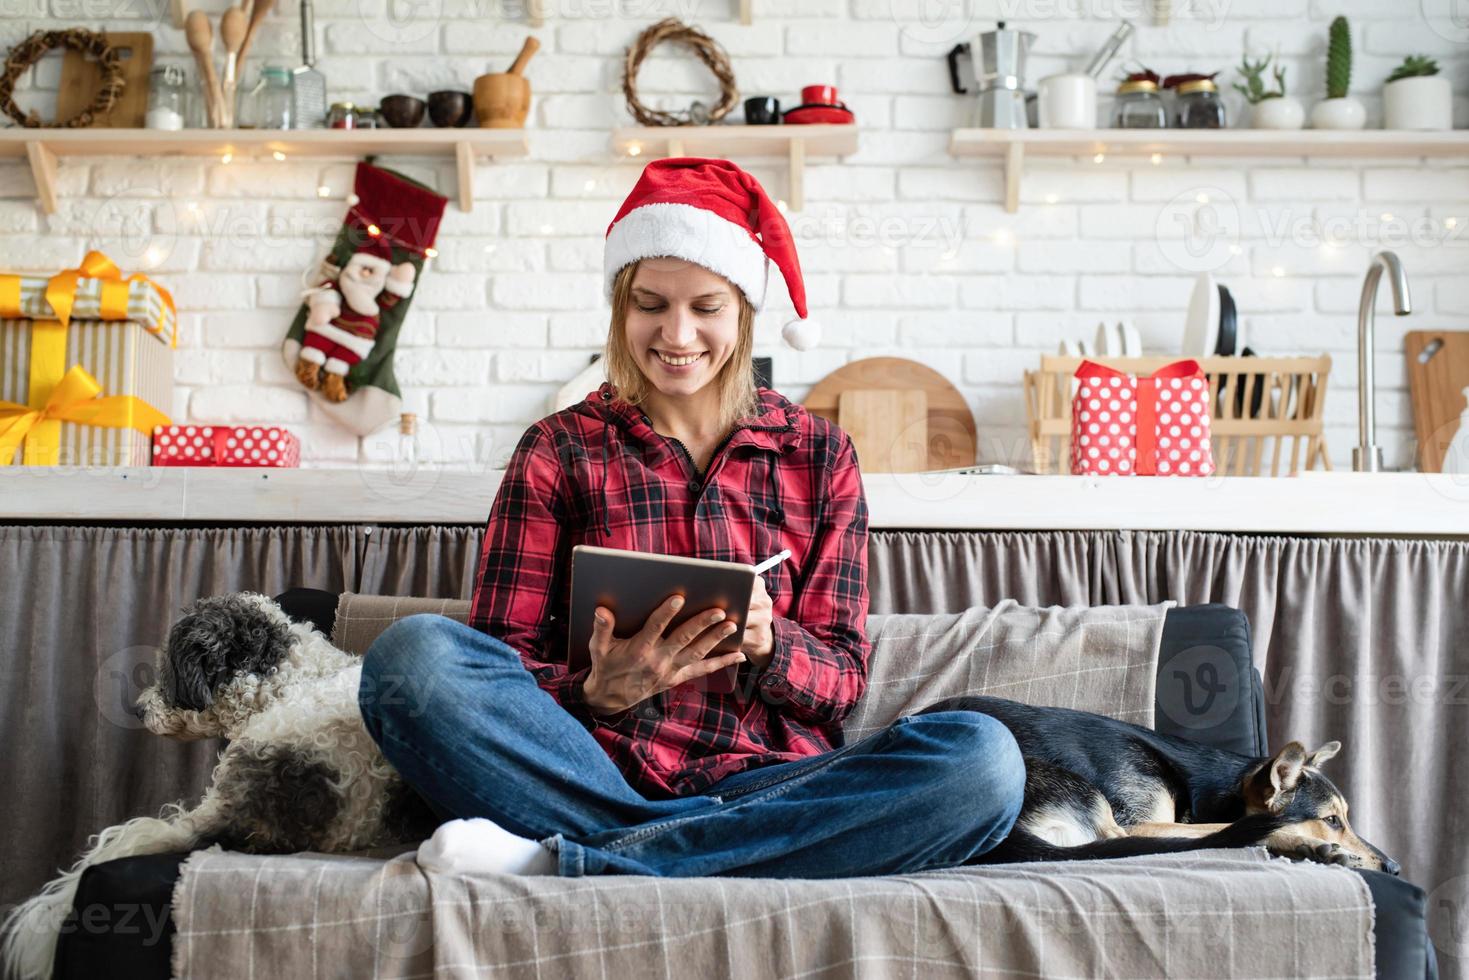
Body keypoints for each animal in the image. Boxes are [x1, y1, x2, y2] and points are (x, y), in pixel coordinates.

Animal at [916, 693, 1398, 869]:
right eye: (1332, 820)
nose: (1394, 868)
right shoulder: (1140, 821)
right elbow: (1217, 829)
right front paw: (1308, 841)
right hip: (1084, 796)